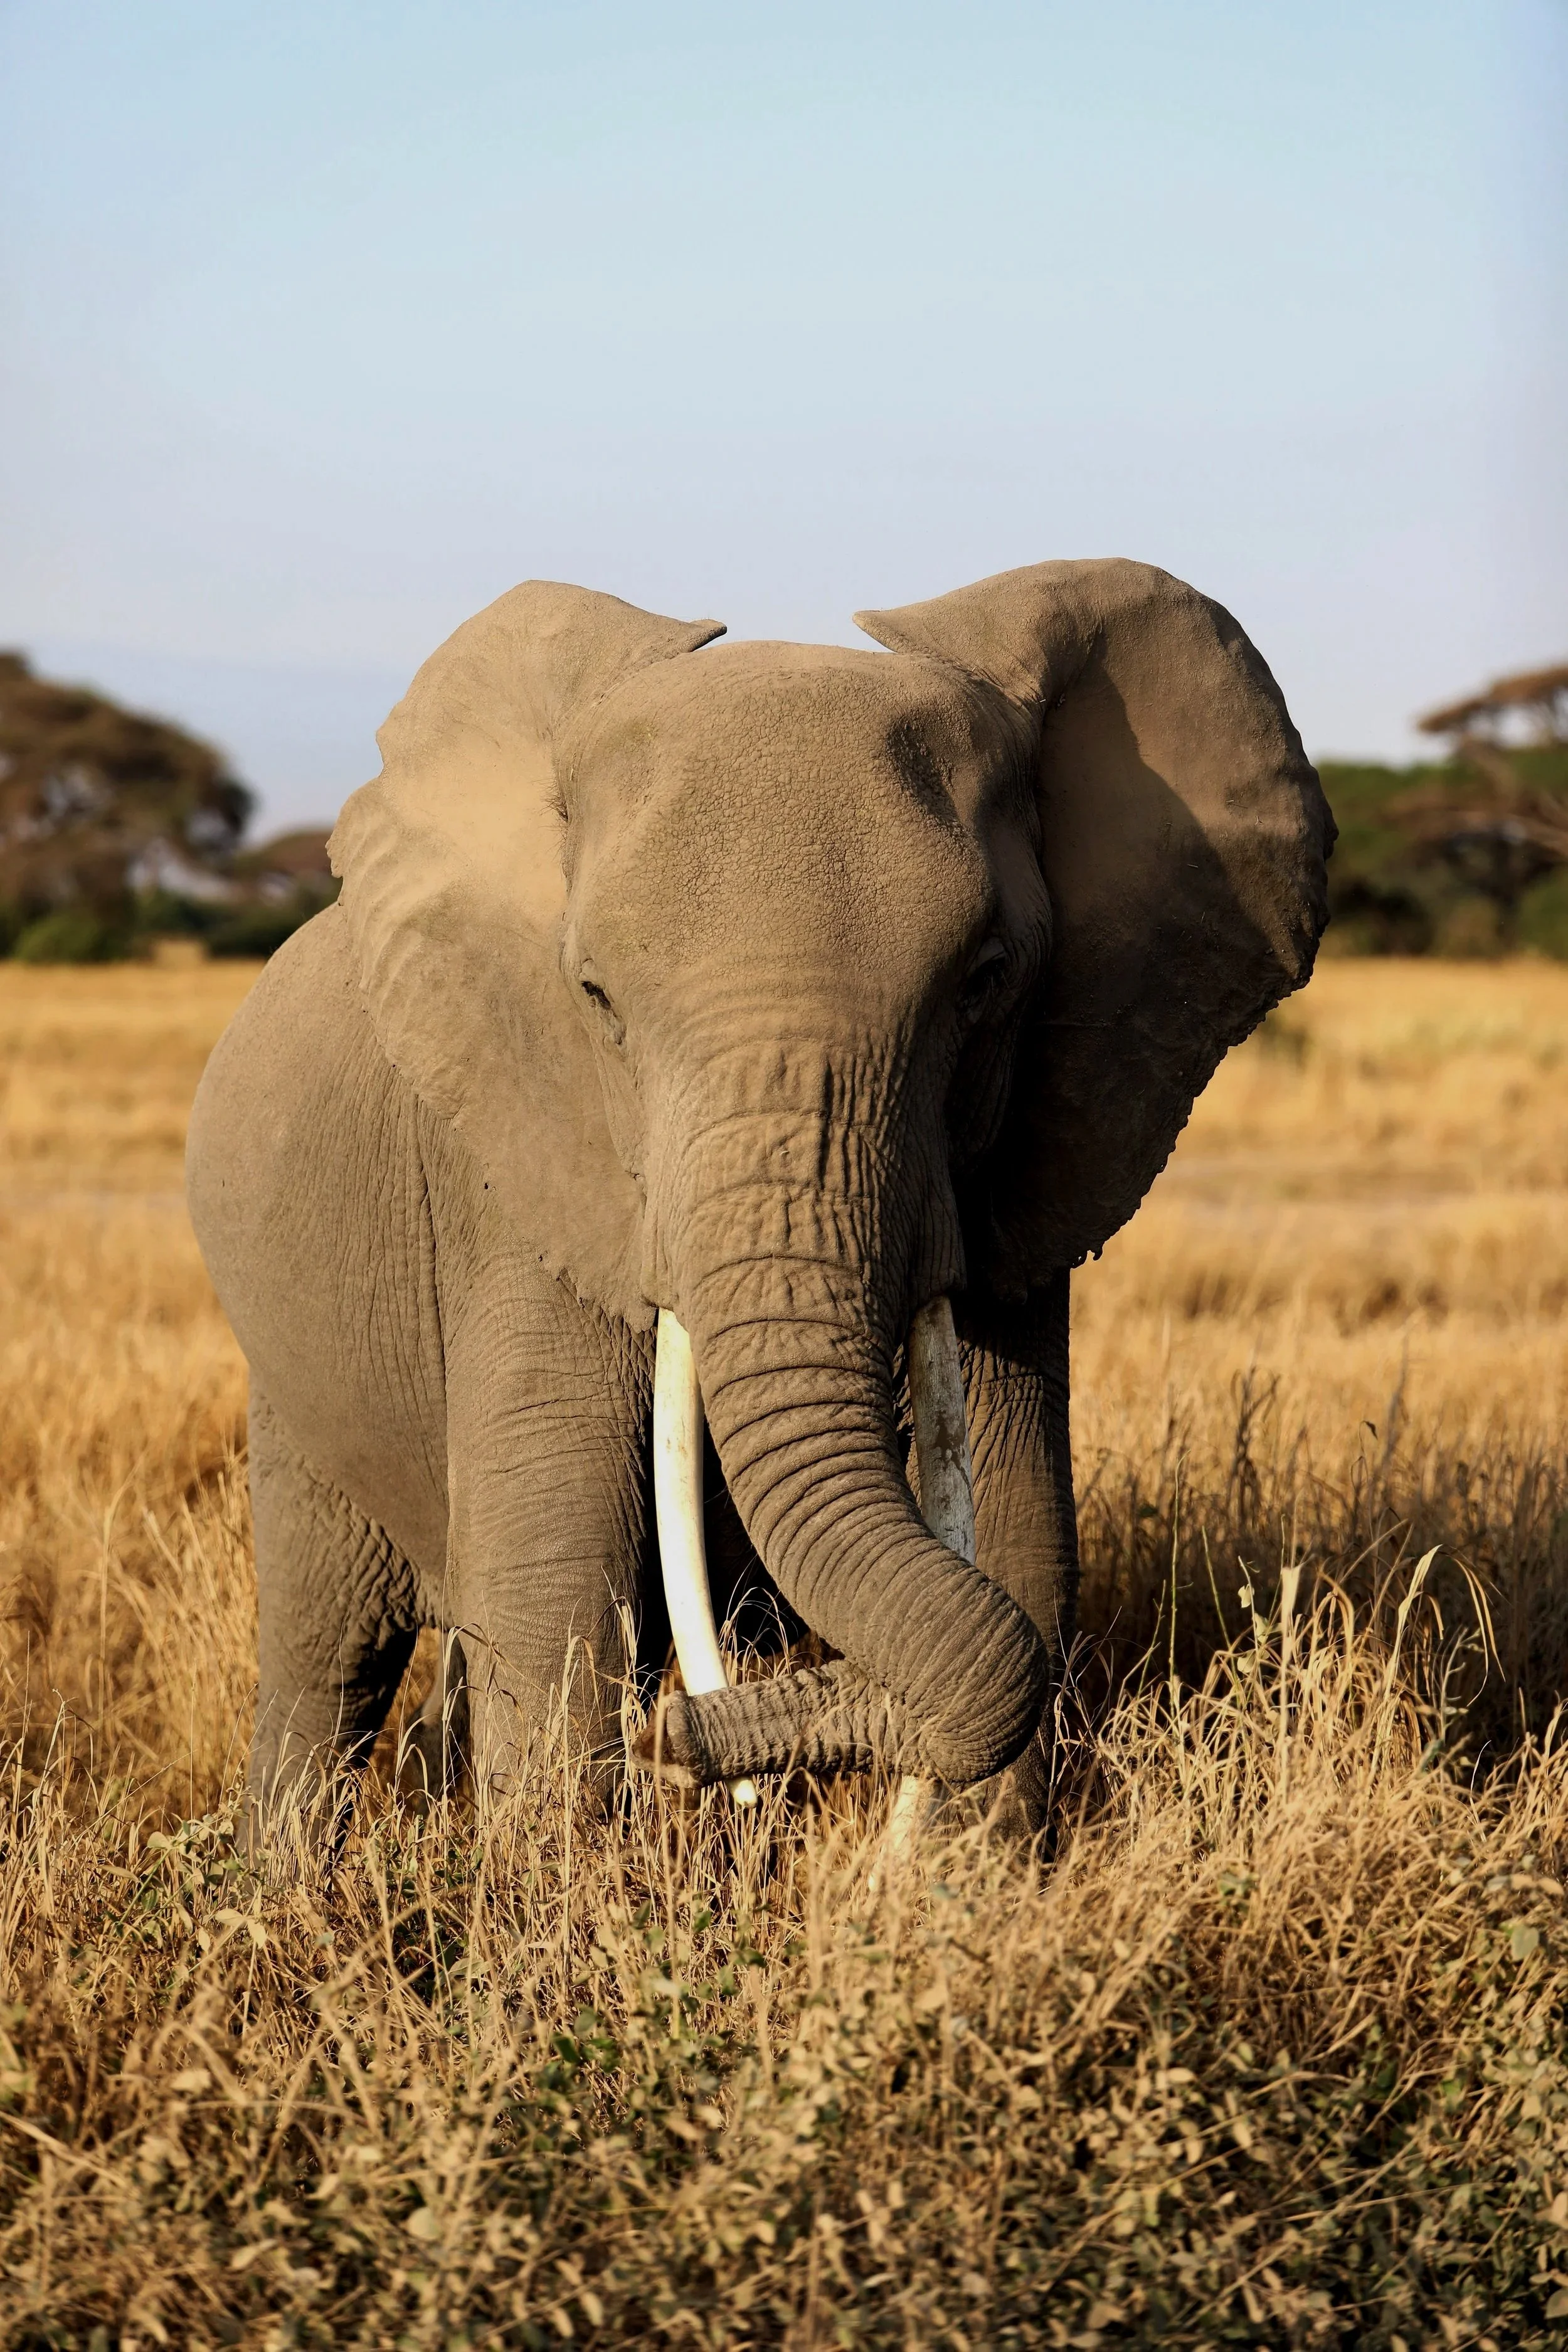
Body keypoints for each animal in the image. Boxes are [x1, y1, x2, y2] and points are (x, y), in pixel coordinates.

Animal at [186, 558, 1333, 1834]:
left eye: (985, 983)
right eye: (595, 997)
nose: (681, 1744)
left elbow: (1025, 1537)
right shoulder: (520, 1169)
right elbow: (553, 1577)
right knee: (325, 1662)